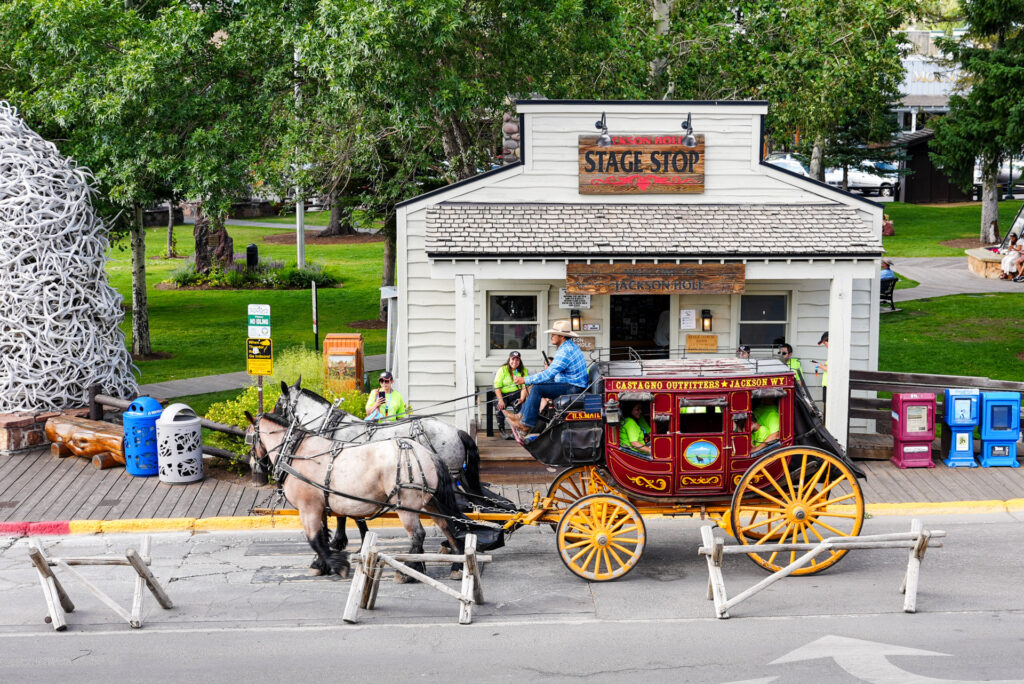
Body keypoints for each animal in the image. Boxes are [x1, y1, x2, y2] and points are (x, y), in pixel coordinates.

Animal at [245, 411, 462, 581]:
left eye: (248, 437)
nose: (253, 465)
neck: (296, 453)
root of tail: (427, 453)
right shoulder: (319, 506)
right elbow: (323, 535)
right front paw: (321, 564)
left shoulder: (308, 508)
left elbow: (315, 540)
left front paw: (338, 565)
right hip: (431, 502)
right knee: (449, 527)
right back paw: (457, 565)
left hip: (406, 506)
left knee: (418, 535)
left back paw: (408, 571)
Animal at [274, 378, 485, 557]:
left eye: (278, 403)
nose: (270, 418)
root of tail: (456, 431)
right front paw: (344, 540)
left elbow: (345, 514)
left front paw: (340, 541)